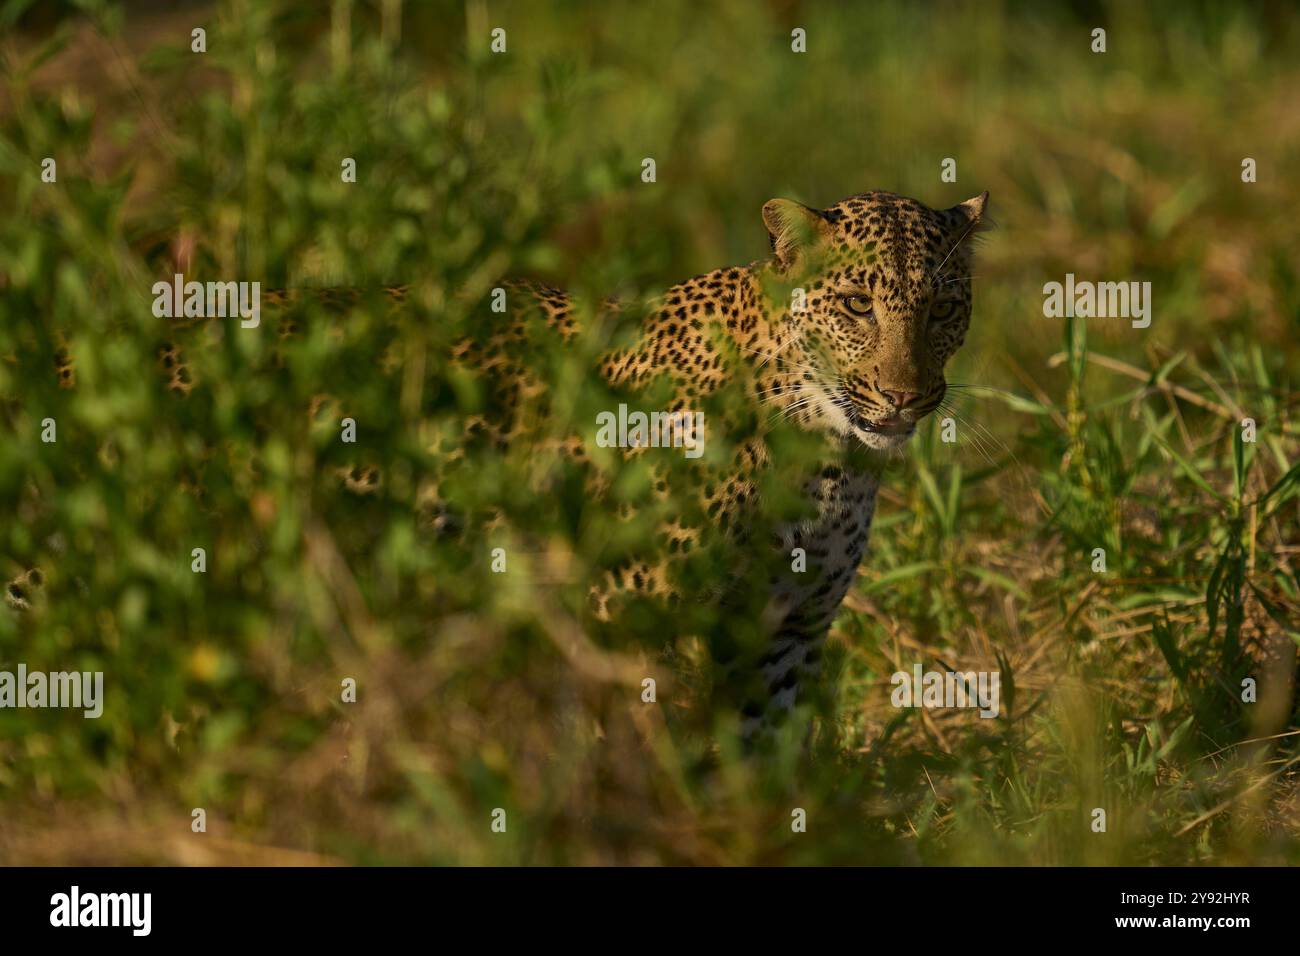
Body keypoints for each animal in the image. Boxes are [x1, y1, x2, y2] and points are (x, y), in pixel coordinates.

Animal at [27, 192, 982, 749]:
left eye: (945, 308)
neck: (827, 460)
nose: (906, 396)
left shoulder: (784, 642)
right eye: (856, 304)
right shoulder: (631, 617)